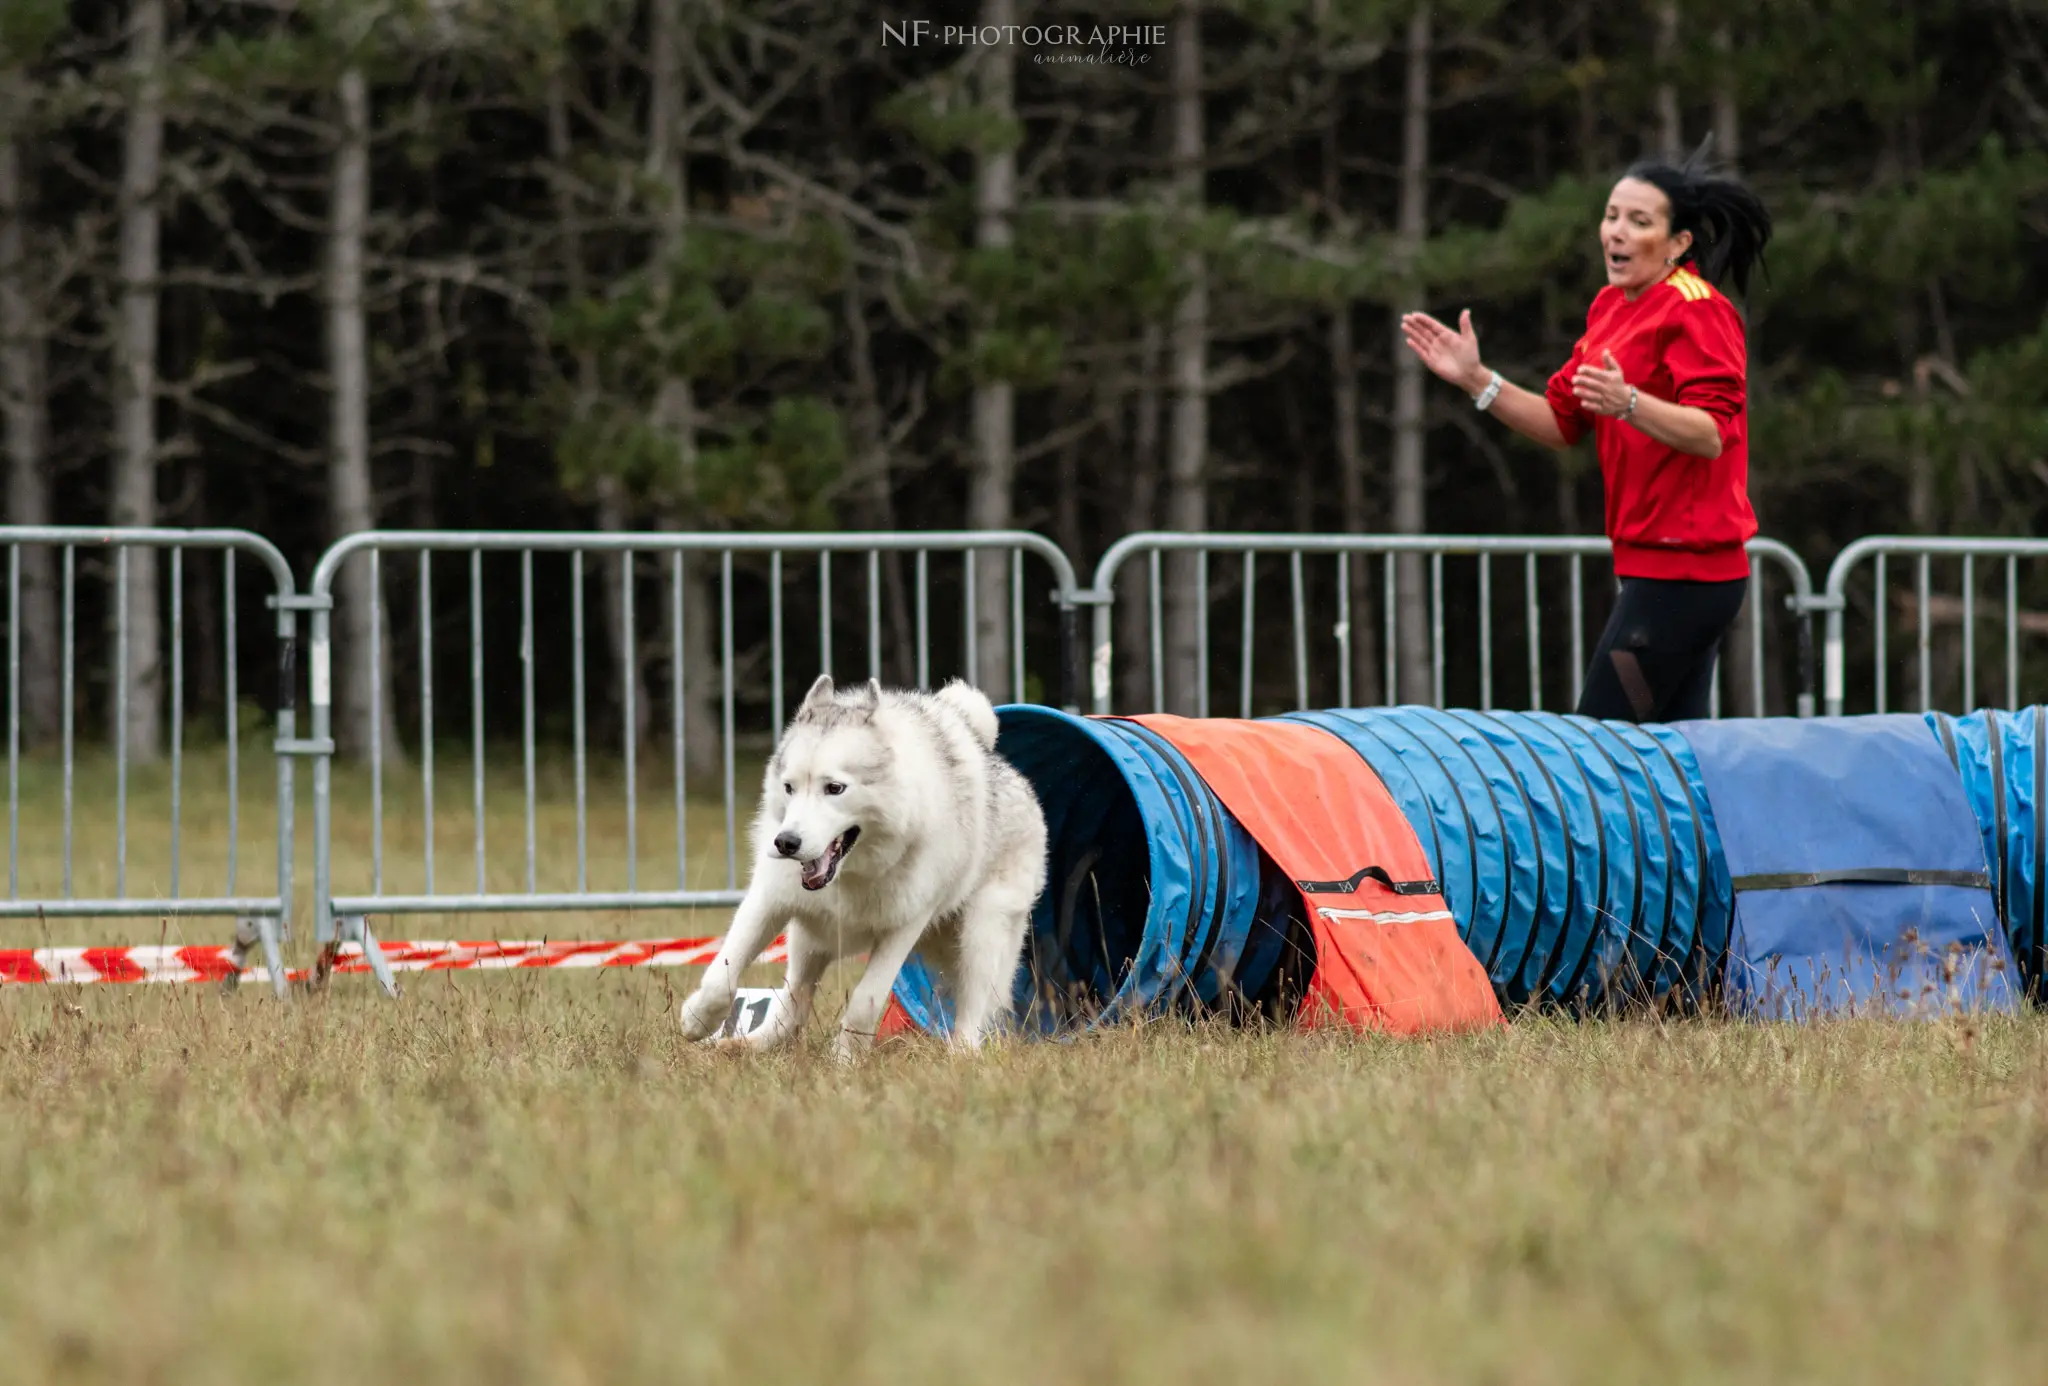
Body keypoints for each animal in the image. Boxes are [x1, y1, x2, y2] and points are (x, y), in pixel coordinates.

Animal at [679, 671, 1048, 1056]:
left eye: (834, 788)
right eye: (789, 787)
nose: (786, 843)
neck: (851, 875)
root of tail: (1013, 775)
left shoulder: (904, 927)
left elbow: (865, 1001)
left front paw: (844, 1059)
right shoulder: (770, 900)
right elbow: (721, 974)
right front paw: (696, 1021)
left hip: (980, 935)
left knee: (975, 1006)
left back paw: (961, 1054)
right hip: (808, 939)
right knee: (793, 1003)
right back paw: (748, 1045)